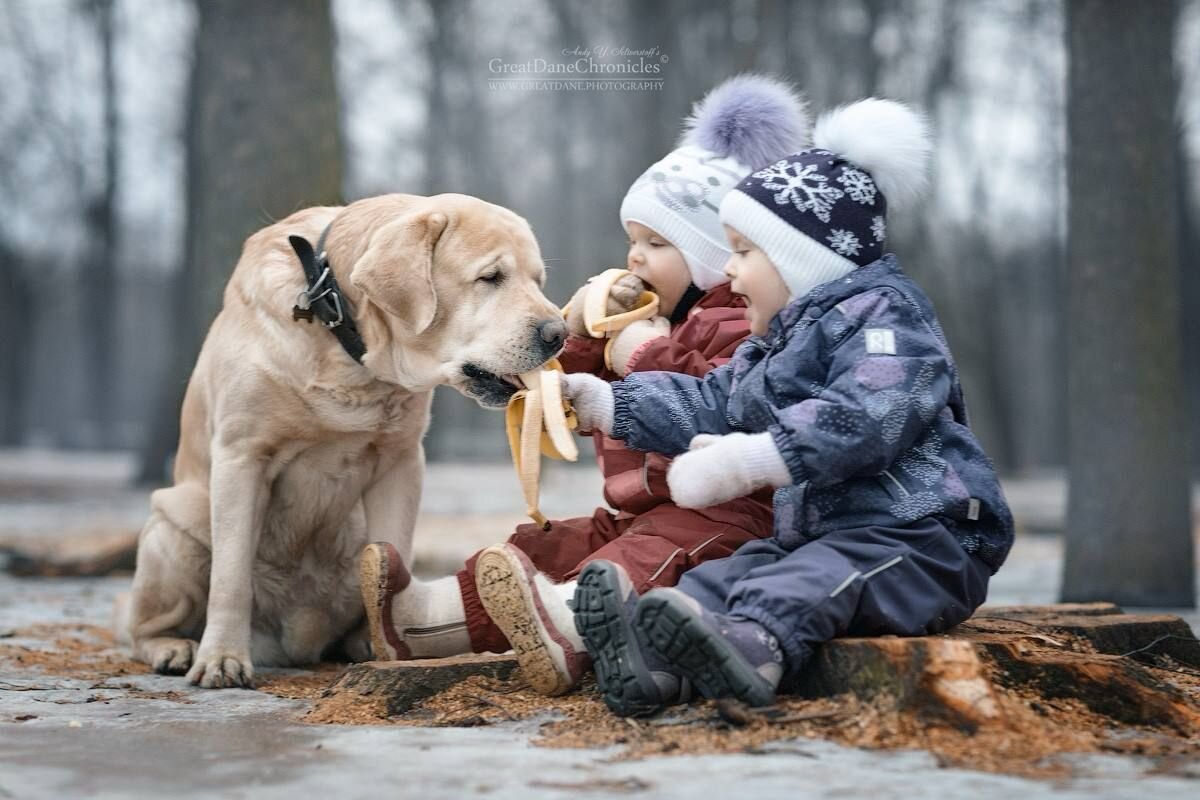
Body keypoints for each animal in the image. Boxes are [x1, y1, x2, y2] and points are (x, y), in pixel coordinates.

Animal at [117, 194, 561, 690]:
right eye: (491, 277)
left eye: (537, 280)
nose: (558, 334)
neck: (345, 338)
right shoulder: (241, 455)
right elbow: (231, 577)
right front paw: (222, 659)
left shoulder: (401, 462)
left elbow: (392, 550)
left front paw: (390, 639)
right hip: (174, 526)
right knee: (141, 627)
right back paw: (175, 648)